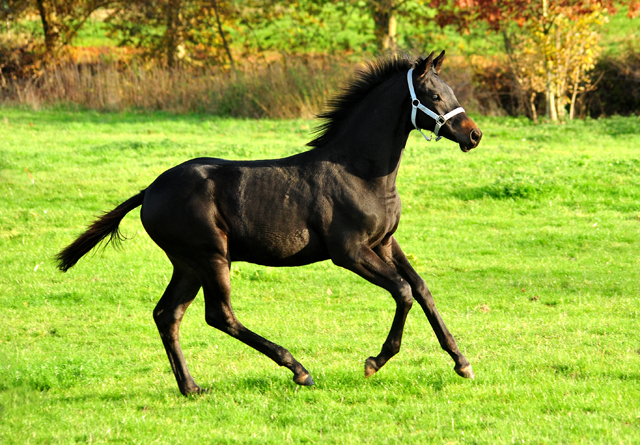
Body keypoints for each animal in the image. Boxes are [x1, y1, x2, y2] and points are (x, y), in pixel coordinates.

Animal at [57, 52, 482, 396]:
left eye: (450, 91)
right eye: (433, 96)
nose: (474, 134)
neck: (361, 172)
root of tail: (149, 191)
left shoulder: (385, 243)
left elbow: (422, 289)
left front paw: (462, 362)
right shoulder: (350, 252)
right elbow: (403, 292)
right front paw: (374, 362)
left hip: (187, 264)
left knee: (168, 315)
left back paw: (192, 387)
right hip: (211, 256)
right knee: (219, 315)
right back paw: (298, 369)